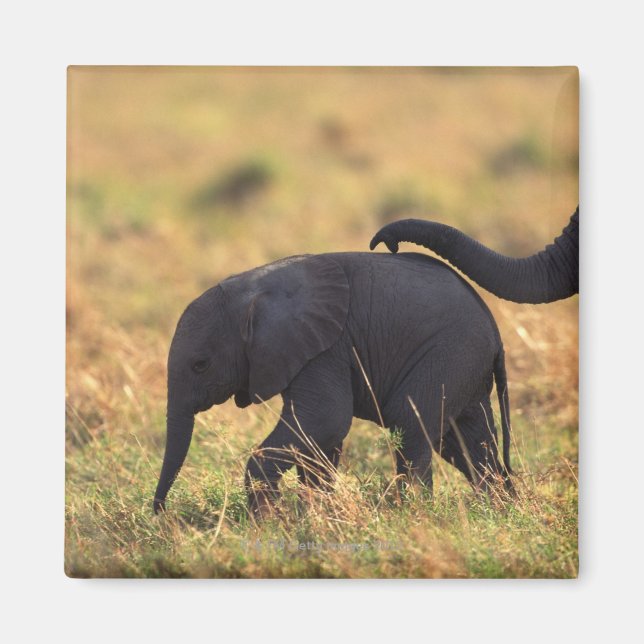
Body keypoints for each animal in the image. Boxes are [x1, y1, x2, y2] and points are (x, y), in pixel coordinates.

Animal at [153, 251, 513, 519]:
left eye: (200, 365)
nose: (160, 513)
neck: (253, 293)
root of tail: (495, 332)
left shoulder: (325, 348)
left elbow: (325, 421)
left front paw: (267, 522)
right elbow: (320, 437)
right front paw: (314, 515)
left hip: (451, 352)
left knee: (411, 424)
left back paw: (414, 513)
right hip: (465, 364)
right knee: (467, 440)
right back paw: (499, 509)